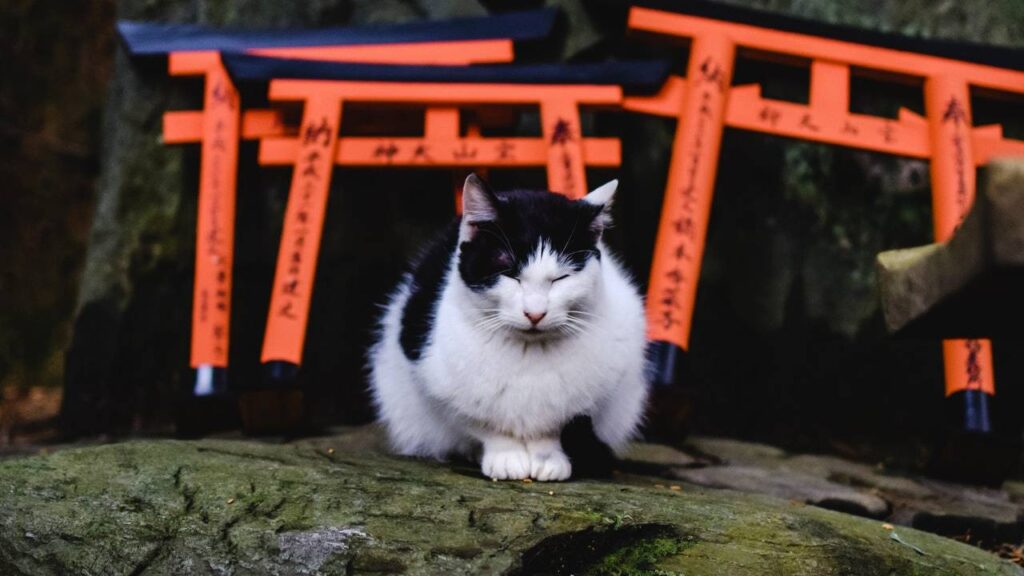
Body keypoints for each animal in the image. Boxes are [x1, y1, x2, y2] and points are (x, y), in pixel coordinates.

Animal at [368, 175, 647, 479]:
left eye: (560, 278)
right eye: (510, 274)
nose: (535, 313)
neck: (528, 353)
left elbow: (552, 429)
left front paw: (548, 459)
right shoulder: (433, 376)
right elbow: (485, 425)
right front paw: (506, 456)